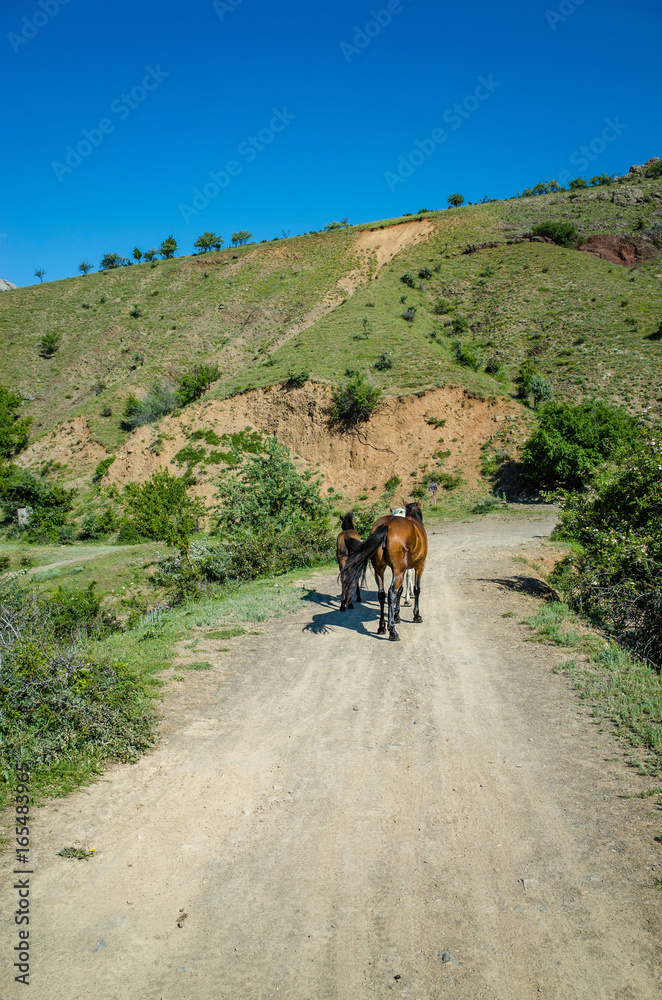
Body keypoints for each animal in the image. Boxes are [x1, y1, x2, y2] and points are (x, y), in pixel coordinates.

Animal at [340, 500, 428, 640]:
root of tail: (387, 525)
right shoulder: (419, 566)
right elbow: (416, 589)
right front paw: (416, 615)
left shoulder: (404, 570)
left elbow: (401, 590)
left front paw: (397, 615)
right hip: (398, 571)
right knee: (391, 592)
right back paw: (392, 631)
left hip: (380, 570)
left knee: (381, 594)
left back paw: (382, 627)